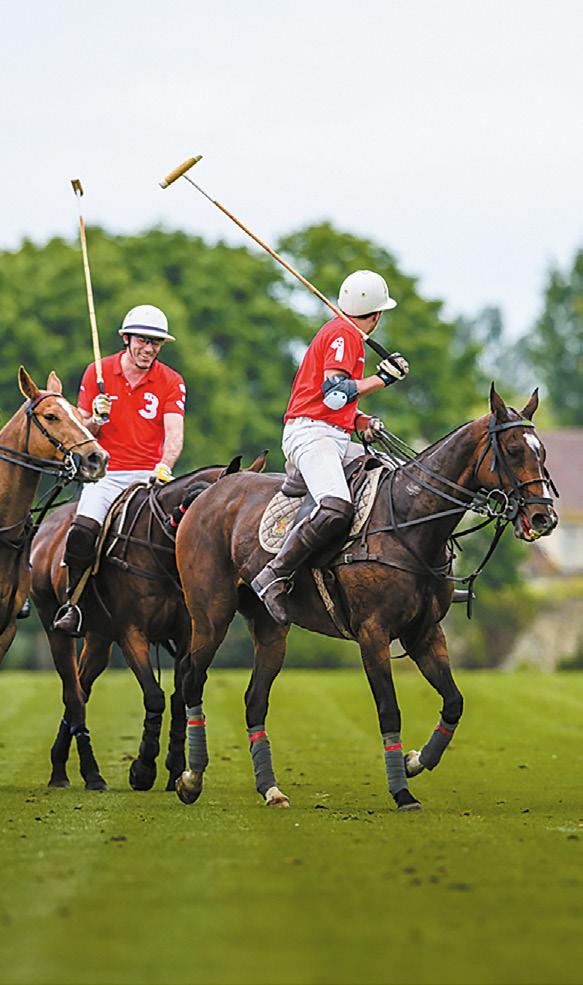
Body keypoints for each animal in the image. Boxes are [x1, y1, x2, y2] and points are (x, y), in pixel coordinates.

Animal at [30, 452, 268, 791]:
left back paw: (62, 766)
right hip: (54, 624)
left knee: (81, 687)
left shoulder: (186, 635)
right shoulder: (132, 633)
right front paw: (142, 769)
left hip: (99, 637)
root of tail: (46, 527)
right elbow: (155, 696)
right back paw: (76, 774)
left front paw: (175, 769)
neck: (161, 549)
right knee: (71, 690)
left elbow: (180, 697)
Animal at [173, 386, 558, 812]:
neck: (410, 522)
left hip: (271, 628)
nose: (544, 519)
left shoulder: (425, 633)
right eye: (513, 450)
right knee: (192, 678)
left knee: (254, 699)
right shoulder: (373, 634)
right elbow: (389, 710)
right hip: (211, 615)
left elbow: (454, 701)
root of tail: (210, 492)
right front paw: (402, 792)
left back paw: (271, 789)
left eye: (541, 451)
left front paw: (414, 762)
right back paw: (190, 779)